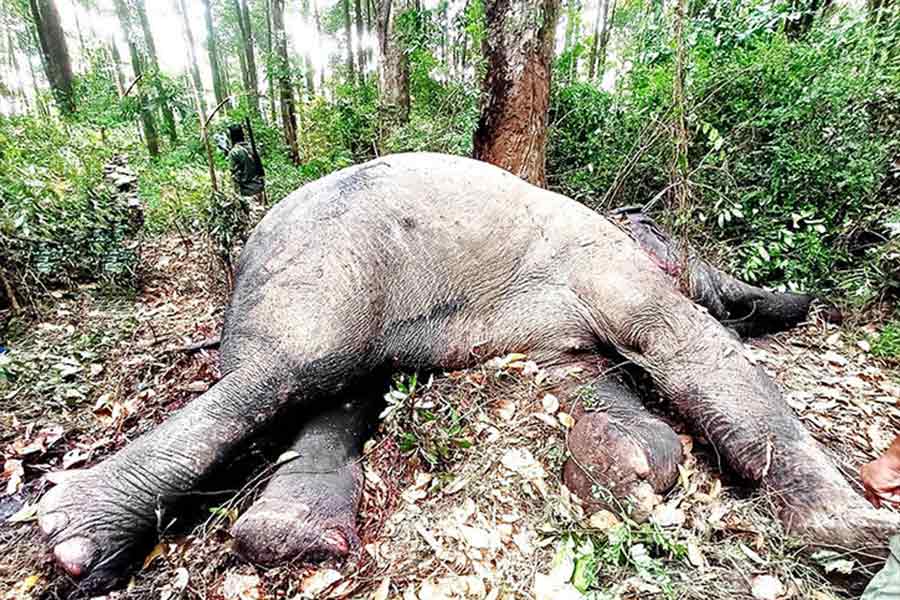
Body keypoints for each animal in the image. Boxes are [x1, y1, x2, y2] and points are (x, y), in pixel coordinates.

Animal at [36, 152, 897, 594]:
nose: (800, 303)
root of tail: (244, 251)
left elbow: (581, 373)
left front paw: (627, 462)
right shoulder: (607, 261)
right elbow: (685, 343)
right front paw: (862, 536)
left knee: (346, 382)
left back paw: (289, 534)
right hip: (327, 264)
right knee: (286, 373)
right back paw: (74, 533)